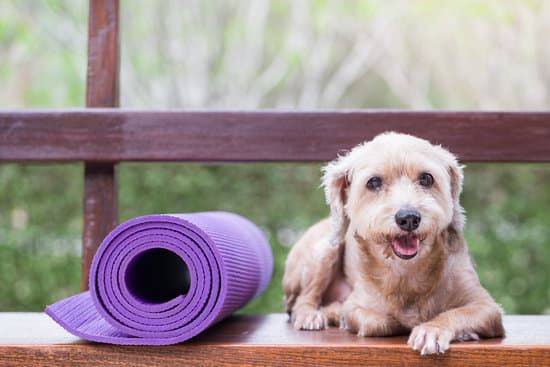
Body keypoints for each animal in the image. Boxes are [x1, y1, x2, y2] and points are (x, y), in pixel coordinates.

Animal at [284, 133, 504, 356]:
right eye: (373, 182)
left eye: (426, 178)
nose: (409, 218)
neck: (407, 270)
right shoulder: (357, 306)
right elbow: (379, 321)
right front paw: (341, 314)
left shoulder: (486, 306)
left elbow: (456, 313)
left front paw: (433, 330)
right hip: (326, 250)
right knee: (302, 301)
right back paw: (313, 314)